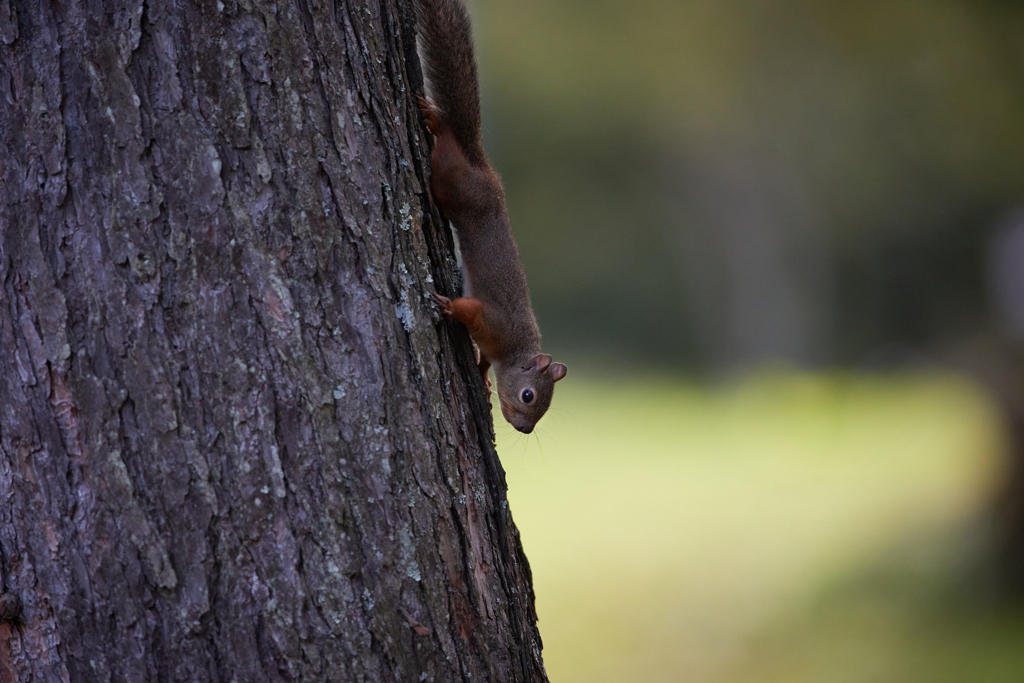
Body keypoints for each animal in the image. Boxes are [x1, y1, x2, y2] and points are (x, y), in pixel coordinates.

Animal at [413, 0, 569, 432]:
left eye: (544, 407)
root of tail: (485, 169)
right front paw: (448, 307)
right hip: (455, 185)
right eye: (528, 395)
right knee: (446, 145)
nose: (525, 428)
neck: (515, 350)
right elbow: (470, 310)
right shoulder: (491, 320)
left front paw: (482, 377)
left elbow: (482, 361)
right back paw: (435, 120)